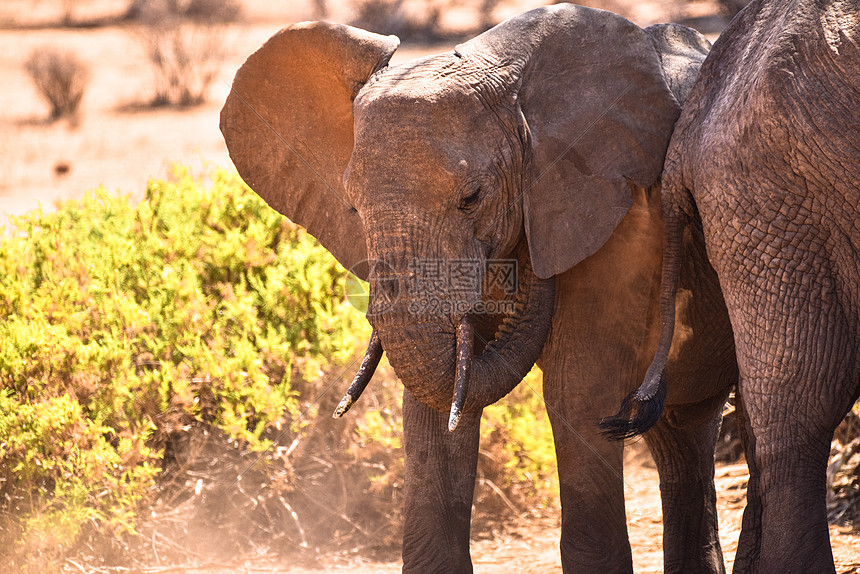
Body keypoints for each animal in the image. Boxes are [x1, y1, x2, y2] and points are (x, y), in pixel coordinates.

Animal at [218, 5, 736, 574]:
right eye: (352, 207)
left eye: (472, 198)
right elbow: (432, 404)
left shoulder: (619, 216)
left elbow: (577, 393)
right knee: (683, 434)